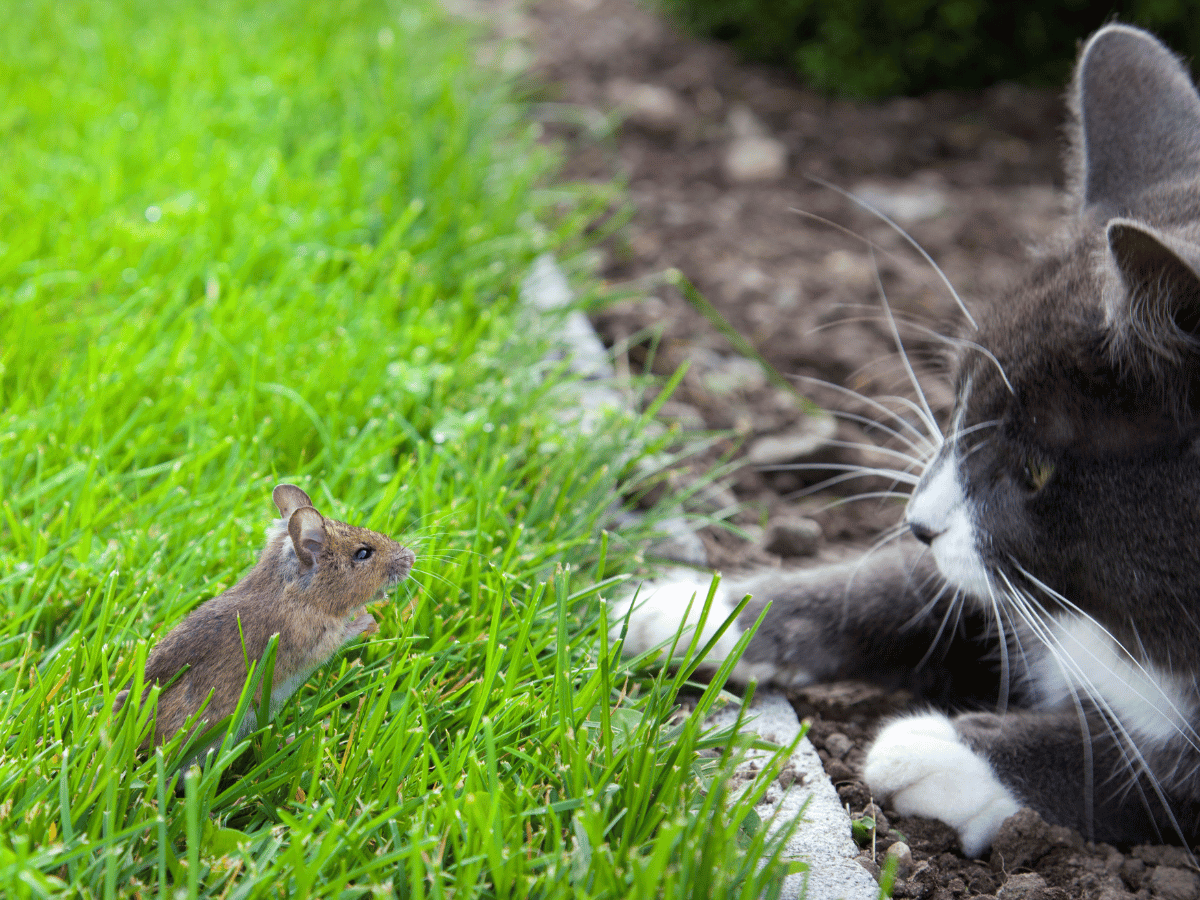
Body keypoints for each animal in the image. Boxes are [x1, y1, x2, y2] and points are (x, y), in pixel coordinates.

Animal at [619, 22, 1200, 859]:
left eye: (1036, 471)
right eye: (956, 399)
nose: (918, 521)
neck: (1130, 624)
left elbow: (1160, 773)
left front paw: (947, 755)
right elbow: (919, 591)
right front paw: (705, 607)